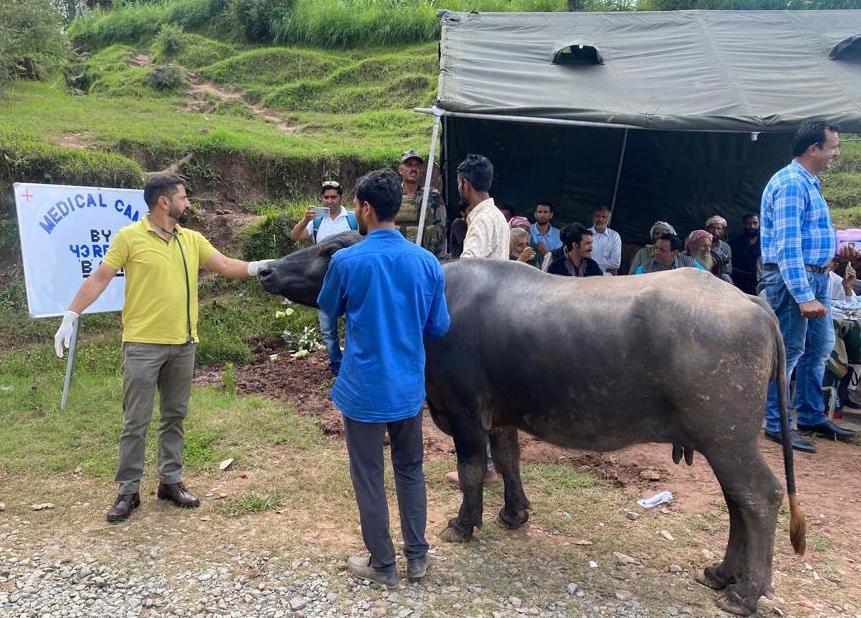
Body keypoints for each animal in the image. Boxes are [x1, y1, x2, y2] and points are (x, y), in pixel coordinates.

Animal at [258, 232, 804, 616]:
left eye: (330, 250)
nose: (264, 269)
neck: (437, 297)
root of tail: (752, 302)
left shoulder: (464, 412)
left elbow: (473, 471)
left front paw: (463, 524)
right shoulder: (501, 416)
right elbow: (508, 461)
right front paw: (513, 514)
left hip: (728, 438)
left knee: (760, 497)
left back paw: (746, 592)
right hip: (722, 441)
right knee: (738, 503)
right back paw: (722, 573)